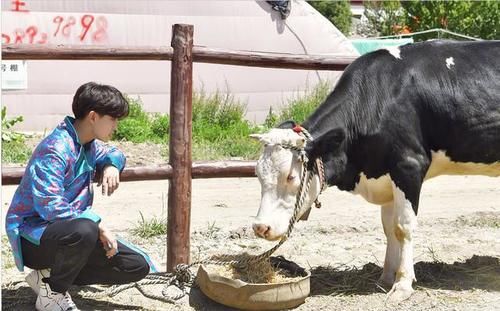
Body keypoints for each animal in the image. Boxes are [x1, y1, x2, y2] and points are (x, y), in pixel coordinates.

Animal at [252, 40, 500, 302]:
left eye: (291, 177)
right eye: (258, 175)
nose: (260, 227)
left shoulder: (408, 166)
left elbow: (403, 227)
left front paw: (403, 284)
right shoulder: (385, 174)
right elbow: (389, 228)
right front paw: (386, 277)